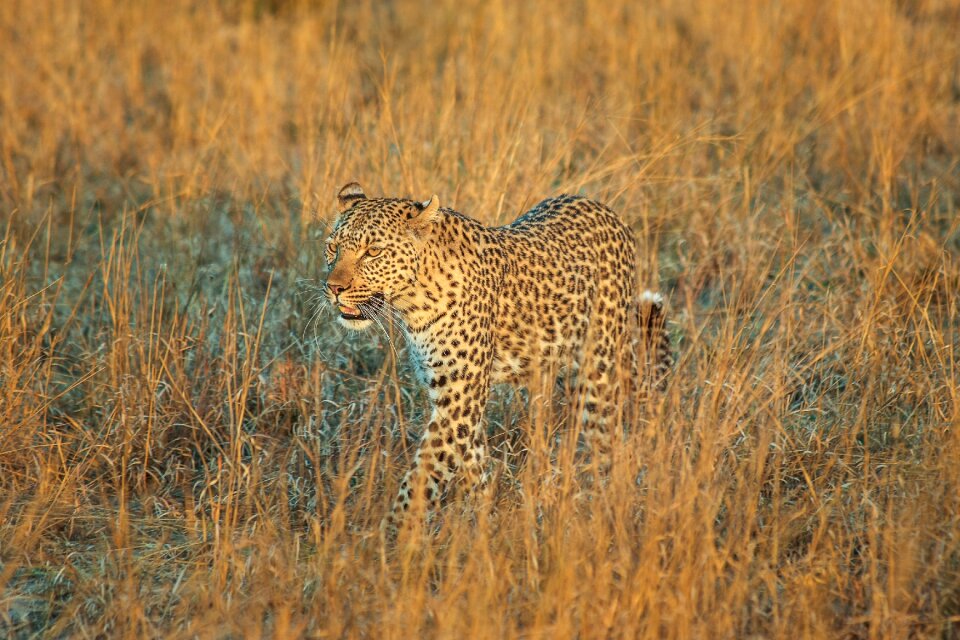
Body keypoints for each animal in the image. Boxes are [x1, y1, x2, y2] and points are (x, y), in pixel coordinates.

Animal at [318, 182, 672, 532]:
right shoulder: (453, 397)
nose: (333, 288)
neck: (413, 302)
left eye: (373, 252)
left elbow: (422, 476)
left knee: (610, 440)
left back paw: (608, 502)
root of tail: (609, 212)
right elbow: (470, 462)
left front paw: (388, 535)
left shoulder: (459, 400)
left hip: (599, 372)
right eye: (332, 248)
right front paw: (485, 518)